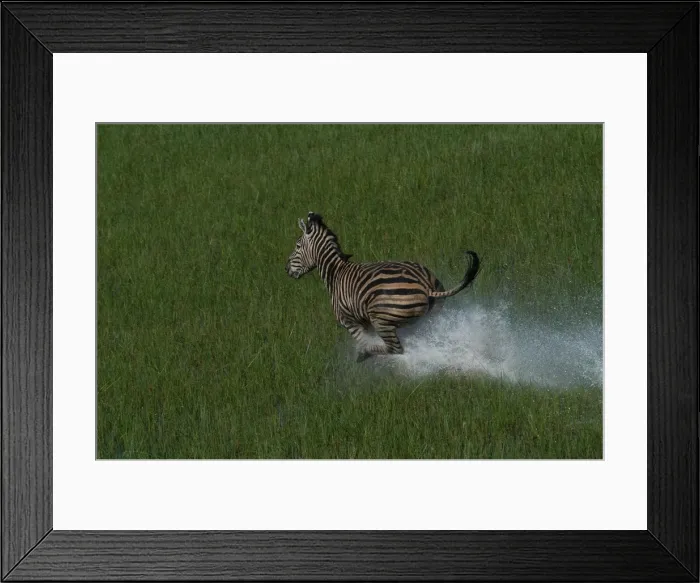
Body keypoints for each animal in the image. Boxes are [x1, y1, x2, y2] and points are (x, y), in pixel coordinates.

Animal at [285, 212, 480, 362]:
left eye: (297, 246)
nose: (286, 269)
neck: (336, 273)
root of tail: (424, 284)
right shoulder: (363, 321)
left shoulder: (350, 321)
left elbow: (364, 341)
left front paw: (363, 353)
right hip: (432, 316)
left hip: (381, 319)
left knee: (396, 349)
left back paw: (365, 355)